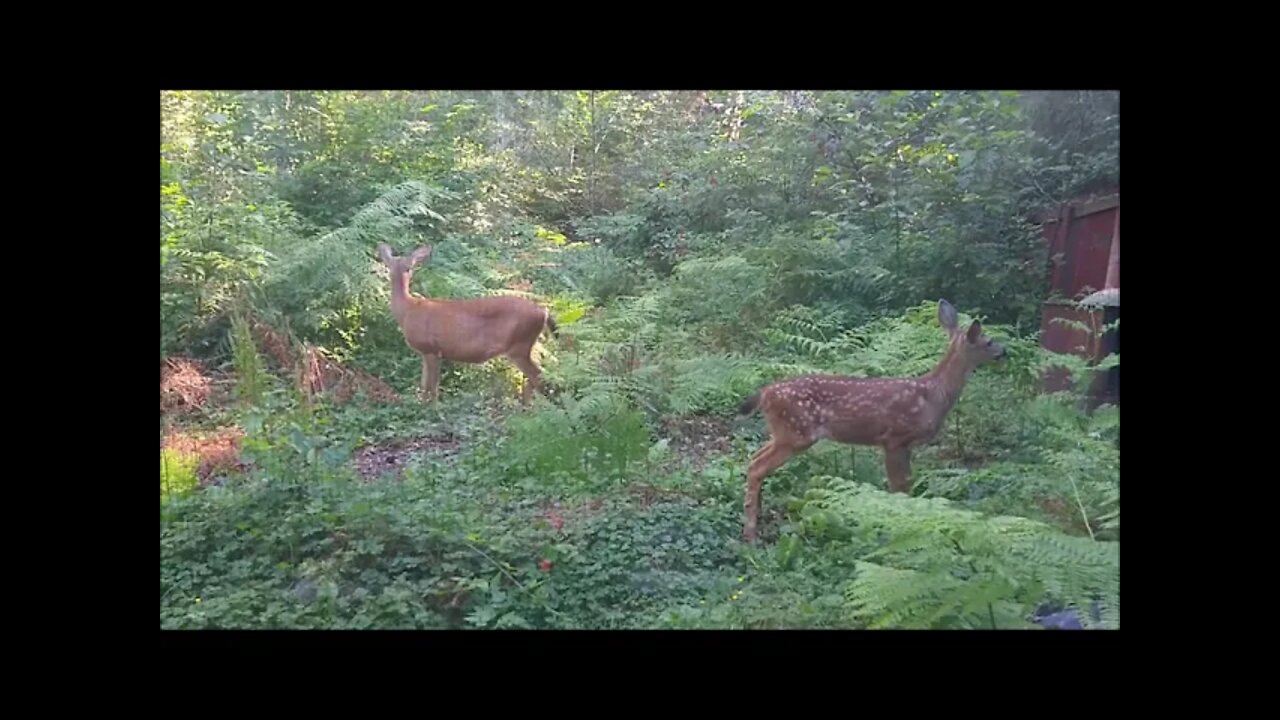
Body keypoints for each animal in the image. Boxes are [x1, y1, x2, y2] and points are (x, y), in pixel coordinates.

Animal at [378, 243, 560, 404]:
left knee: (538, 376)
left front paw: (431, 408)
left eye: (409, 267)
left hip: (519, 345)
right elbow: (425, 385)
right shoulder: (426, 352)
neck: (408, 310)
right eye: (390, 264)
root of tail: (544, 312)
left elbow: (432, 386)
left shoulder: (431, 349)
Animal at [737, 297, 1003, 538]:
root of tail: (765, 393)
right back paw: (750, 535)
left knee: (754, 458)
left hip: (783, 432)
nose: (1005, 351)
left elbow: (906, 484)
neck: (933, 395)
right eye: (989, 341)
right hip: (797, 432)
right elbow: (899, 487)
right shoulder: (894, 438)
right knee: (757, 467)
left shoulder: (905, 444)